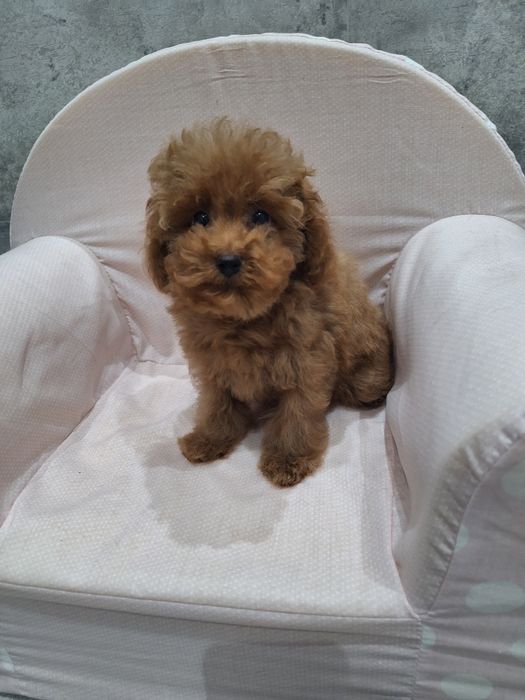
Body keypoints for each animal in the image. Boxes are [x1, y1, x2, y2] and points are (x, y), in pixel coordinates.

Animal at [145, 118, 393, 487]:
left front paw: (289, 459)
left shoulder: (306, 359)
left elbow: (297, 412)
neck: (243, 318)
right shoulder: (213, 362)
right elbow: (217, 402)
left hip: (364, 373)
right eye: (200, 217)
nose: (228, 259)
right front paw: (210, 439)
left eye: (261, 215)